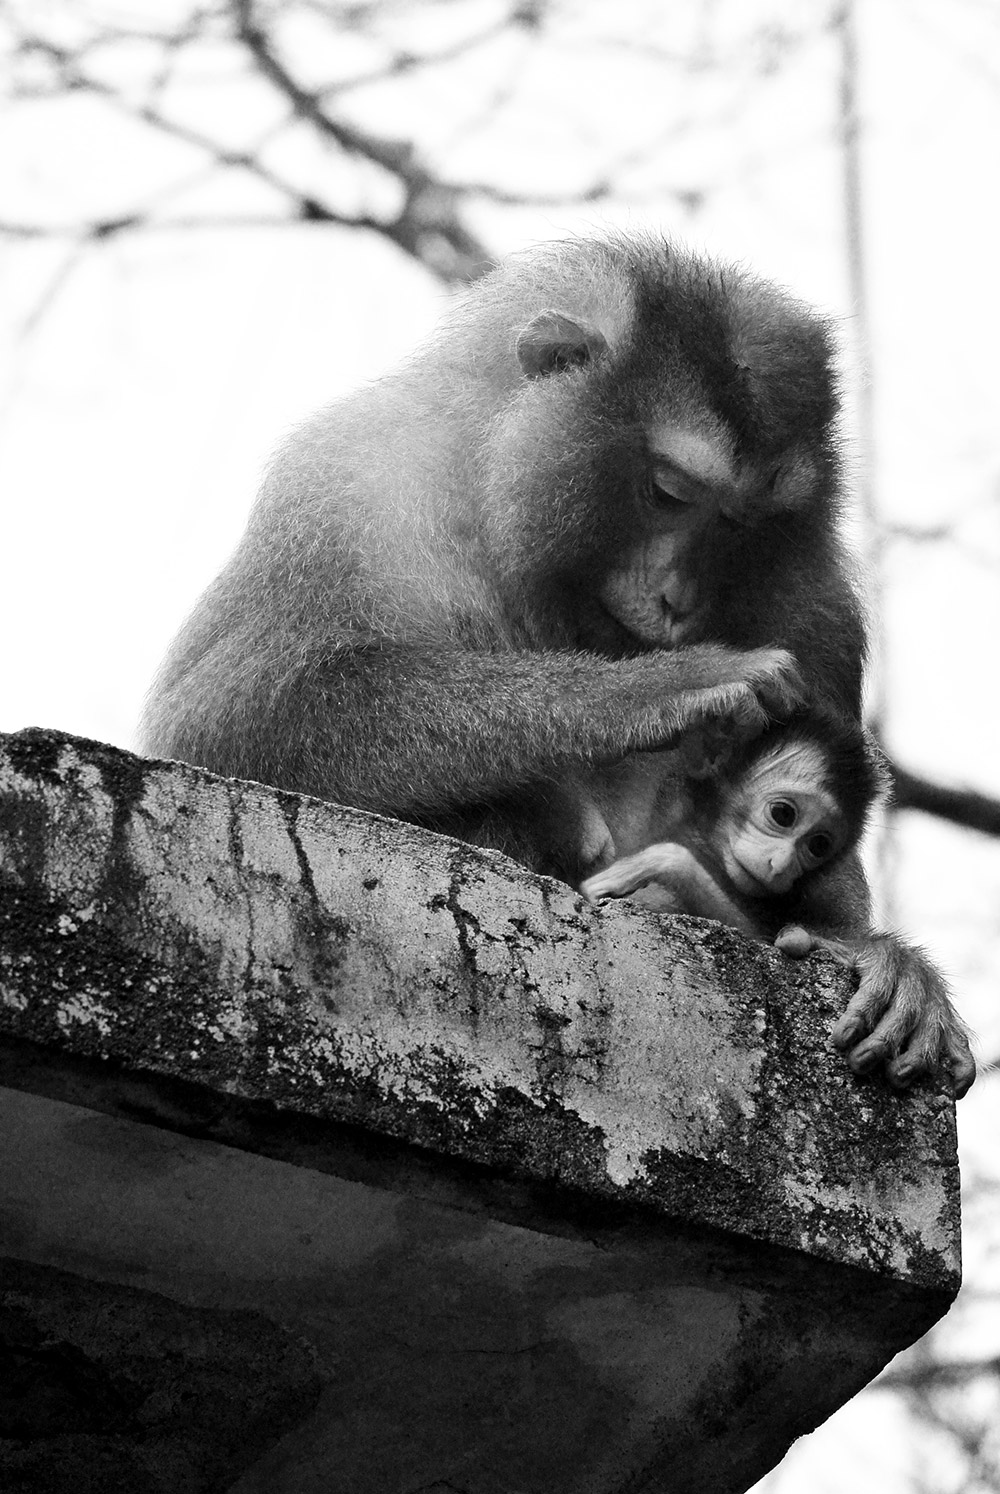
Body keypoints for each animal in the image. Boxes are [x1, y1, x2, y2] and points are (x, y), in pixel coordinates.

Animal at [139, 231, 974, 1096]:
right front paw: (658, 690)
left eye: (740, 524)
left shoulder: (822, 605)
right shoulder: (351, 479)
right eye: (668, 491)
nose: (676, 598)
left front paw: (883, 963)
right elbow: (222, 724)